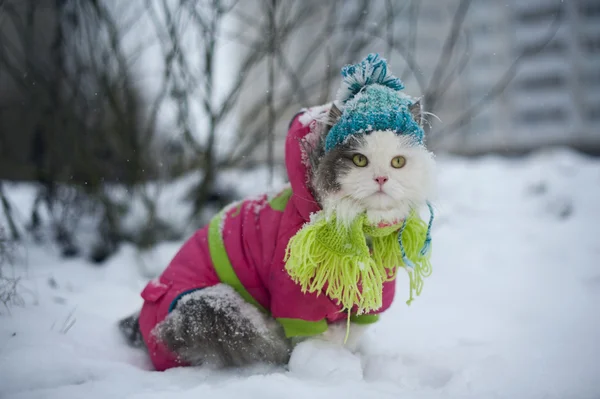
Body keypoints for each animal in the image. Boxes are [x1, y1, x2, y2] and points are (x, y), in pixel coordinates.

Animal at [118, 101, 436, 370]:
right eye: (359, 160)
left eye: (398, 162)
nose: (381, 178)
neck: (360, 234)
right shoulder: (296, 300)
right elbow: (317, 339)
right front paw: (327, 363)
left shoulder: (372, 296)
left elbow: (352, 331)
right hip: (214, 307)